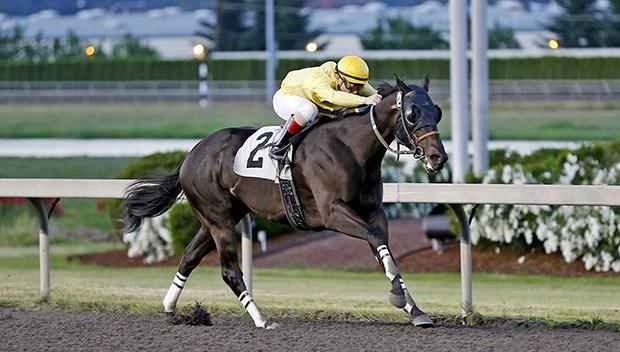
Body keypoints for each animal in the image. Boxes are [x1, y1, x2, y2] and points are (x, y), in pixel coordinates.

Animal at [123, 75, 448, 328]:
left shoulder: (373, 212)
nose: (438, 157)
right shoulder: (333, 212)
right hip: (219, 220)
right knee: (230, 272)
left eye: (437, 111)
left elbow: (383, 249)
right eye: (412, 113)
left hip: (216, 219)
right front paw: (399, 297)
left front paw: (414, 309)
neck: (350, 147)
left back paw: (171, 309)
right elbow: (377, 240)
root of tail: (191, 155)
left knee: (189, 257)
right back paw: (262, 319)